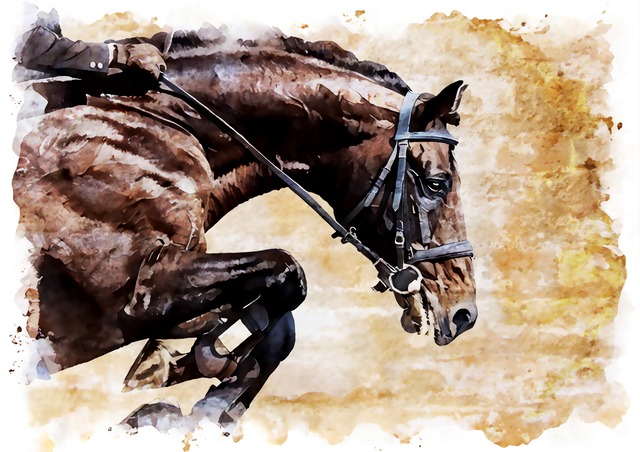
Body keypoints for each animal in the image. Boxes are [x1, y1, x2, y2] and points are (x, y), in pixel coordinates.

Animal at [12, 25, 477, 432]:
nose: (464, 314)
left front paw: (183, 389)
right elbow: (287, 271)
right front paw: (178, 373)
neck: (161, 126)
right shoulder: (141, 291)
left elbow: (277, 326)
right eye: (437, 184)